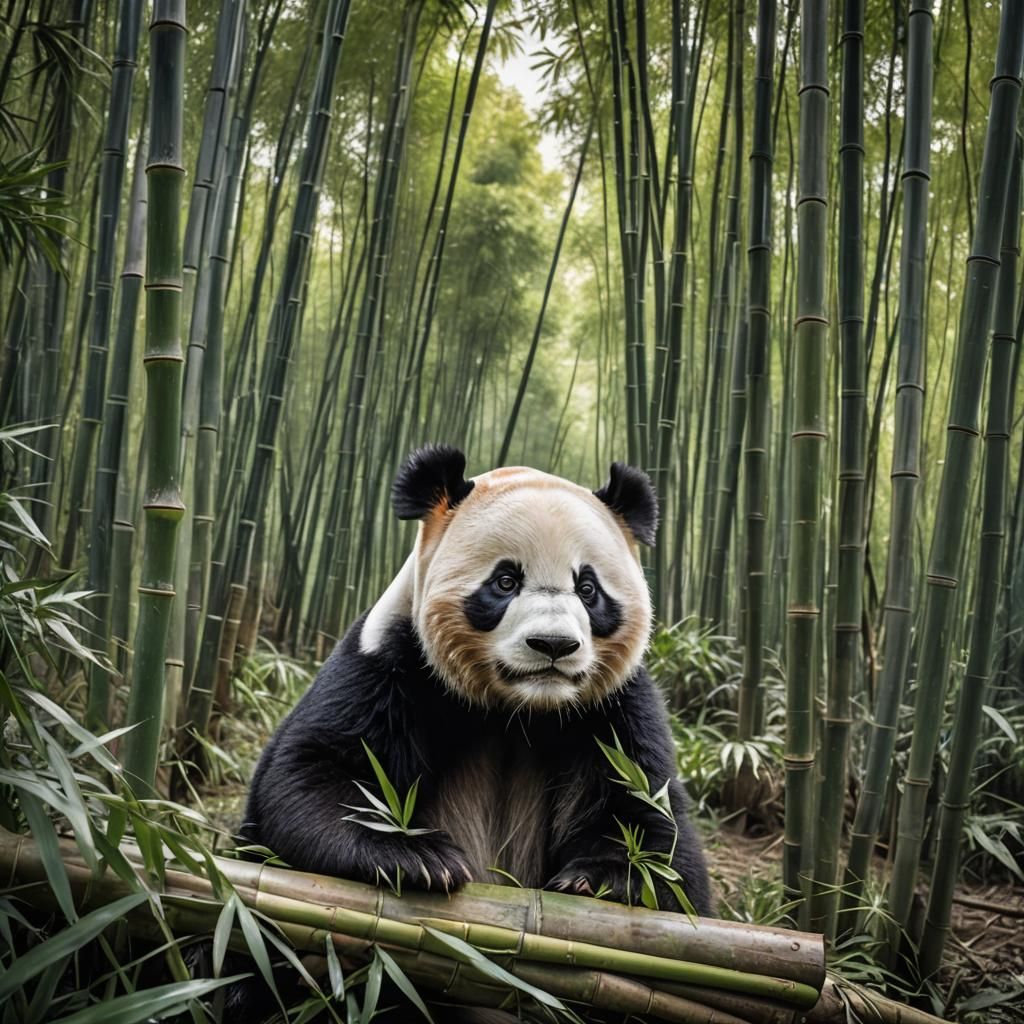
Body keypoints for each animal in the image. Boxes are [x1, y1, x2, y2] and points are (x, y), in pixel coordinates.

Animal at [241, 446, 711, 918]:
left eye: (588, 588)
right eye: (505, 581)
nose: (553, 644)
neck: (520, 710)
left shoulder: (613, 706)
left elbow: (653, 821)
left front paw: (606, 877)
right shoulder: (389, 662)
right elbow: (313, 773)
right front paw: (418, 857)